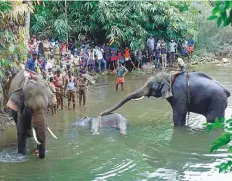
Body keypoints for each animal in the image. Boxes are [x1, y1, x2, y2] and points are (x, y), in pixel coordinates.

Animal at [101, 72, 230, 126]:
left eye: (151, 85)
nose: (101, 114)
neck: (170, 76)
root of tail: (226, 91)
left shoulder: (179, 94)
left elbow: (179, 115)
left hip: (217, 102)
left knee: (213, 120)